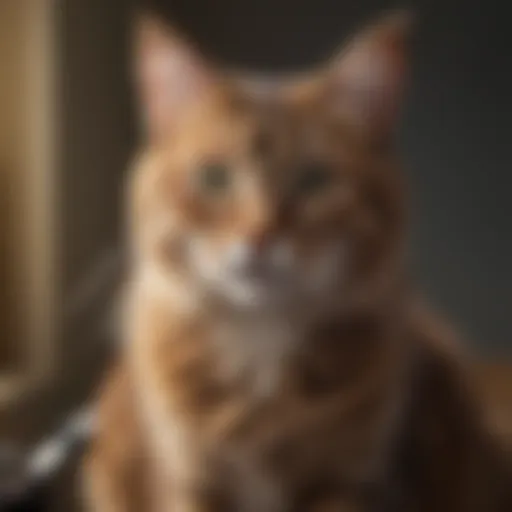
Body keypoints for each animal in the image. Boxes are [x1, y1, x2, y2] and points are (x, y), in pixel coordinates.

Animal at [82, 9, 510, 512]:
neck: (262, 345)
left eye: (314, 179)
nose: (260, 236)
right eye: (214, 177)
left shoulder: (353, 477)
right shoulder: (188, 476)